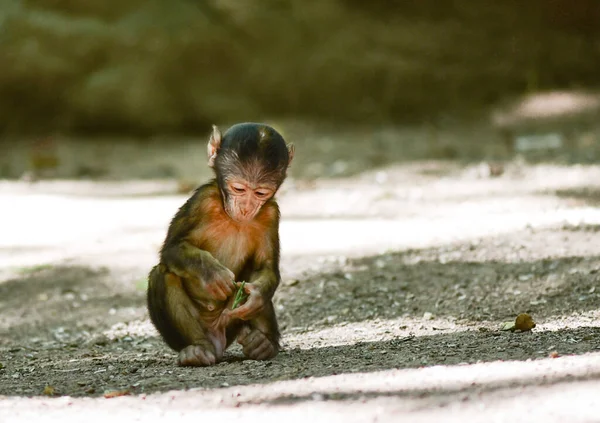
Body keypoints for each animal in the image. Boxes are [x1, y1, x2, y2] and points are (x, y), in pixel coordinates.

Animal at [148, 122, 292, 368]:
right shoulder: (202, 201)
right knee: (164, 274)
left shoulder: (271, 212)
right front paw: (212, 274)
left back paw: (264, 344)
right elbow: (170, 250)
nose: (246, 208)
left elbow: (265, 267)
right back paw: (197, 350)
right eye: (239, 189)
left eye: (260, 192)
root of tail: (218, 337)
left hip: (233, 320)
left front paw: (255, 296)